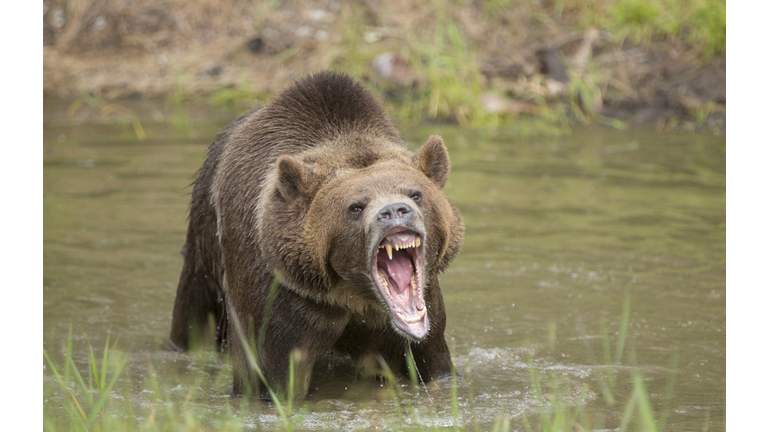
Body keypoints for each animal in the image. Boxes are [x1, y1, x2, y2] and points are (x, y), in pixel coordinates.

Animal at [170, 71, 462, 398]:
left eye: (415, 194)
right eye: (355, 207)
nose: (394, 211)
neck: (353, 294)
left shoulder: (422, 314)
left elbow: (432, 361)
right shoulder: (283, 298)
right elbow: (269, 375)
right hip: (205, 245)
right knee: (195, 313)